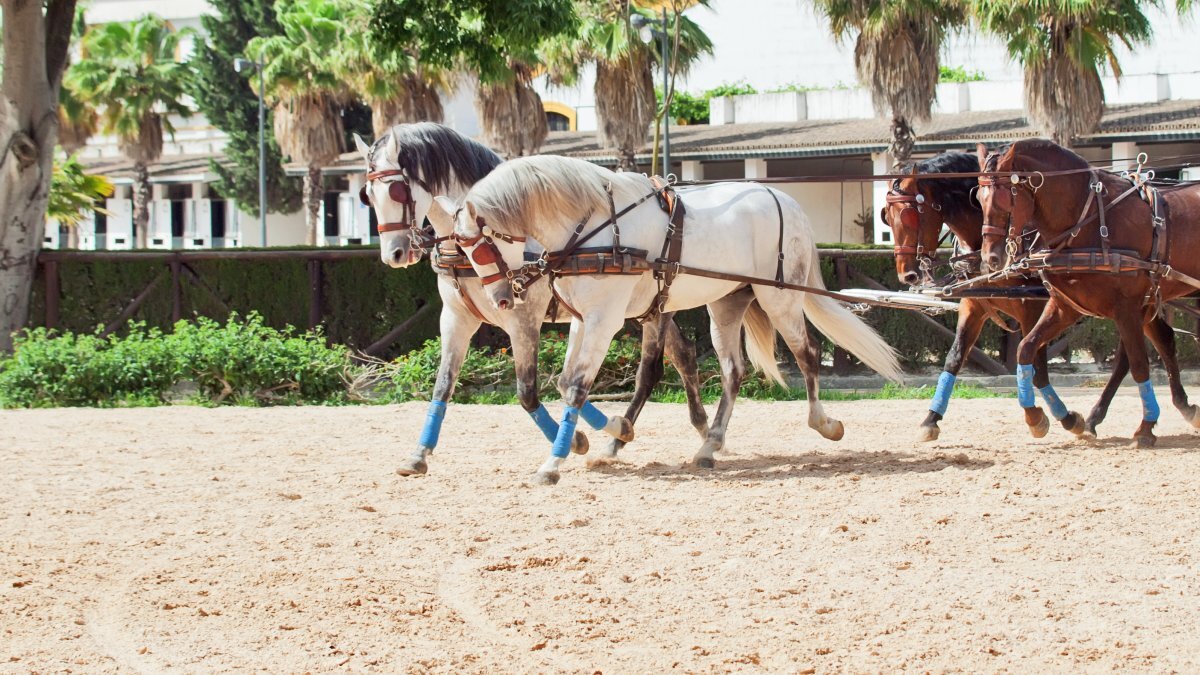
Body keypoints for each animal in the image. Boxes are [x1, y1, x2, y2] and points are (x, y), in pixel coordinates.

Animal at [355, 124, 710, 473]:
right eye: (368, 195)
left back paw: (627, 437)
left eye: (397, 191)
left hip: (651, 310)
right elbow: (443, 383)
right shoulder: (456, 318)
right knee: (683, 355)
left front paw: (575, 441)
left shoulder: (523, 319)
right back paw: (695, 429)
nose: (394, 254)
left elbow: (527, 392)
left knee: (652, 370)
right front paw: (419, 454)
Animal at [436, 156, 902, 482]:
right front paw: (606, 435)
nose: (501, 298)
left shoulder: (603, 319)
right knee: (733, 371)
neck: (595, 228)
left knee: (807, 353)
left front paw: (555, 462)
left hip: (780, 297)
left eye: (482, 246)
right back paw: (710, 445)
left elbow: (577, 387)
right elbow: (567, 384)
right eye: (461, 247)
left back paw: (824, 423)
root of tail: (784, 199)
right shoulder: (583, 318)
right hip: (727, 304)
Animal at [974, 138, 1200, 444]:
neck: (1090, 222)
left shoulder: (1127, 307)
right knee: (1157, 343)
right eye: (979, 198)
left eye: (1003, 198)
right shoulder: (1066, 306)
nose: (990, 258)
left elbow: (1140, 364)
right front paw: (1039, 418)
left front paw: (1145, 426)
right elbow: (1026, 349)